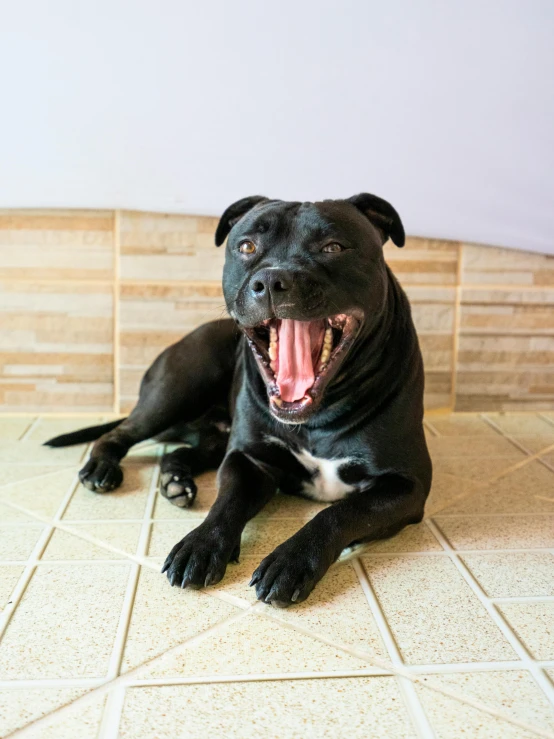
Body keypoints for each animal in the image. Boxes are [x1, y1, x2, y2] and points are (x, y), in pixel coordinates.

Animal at [45, 192, 430, 608]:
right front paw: (201, 544)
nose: (272, 280)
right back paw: (103, 468)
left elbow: (342, 512)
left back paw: (176, 480)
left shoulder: (406, 485)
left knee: (181, 451)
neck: (318, 416)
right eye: (247, 247)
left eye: (333, 247)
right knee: (119, 434)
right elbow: (227, 501)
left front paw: (292, 560)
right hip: (178, 387)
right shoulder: (248, 459)